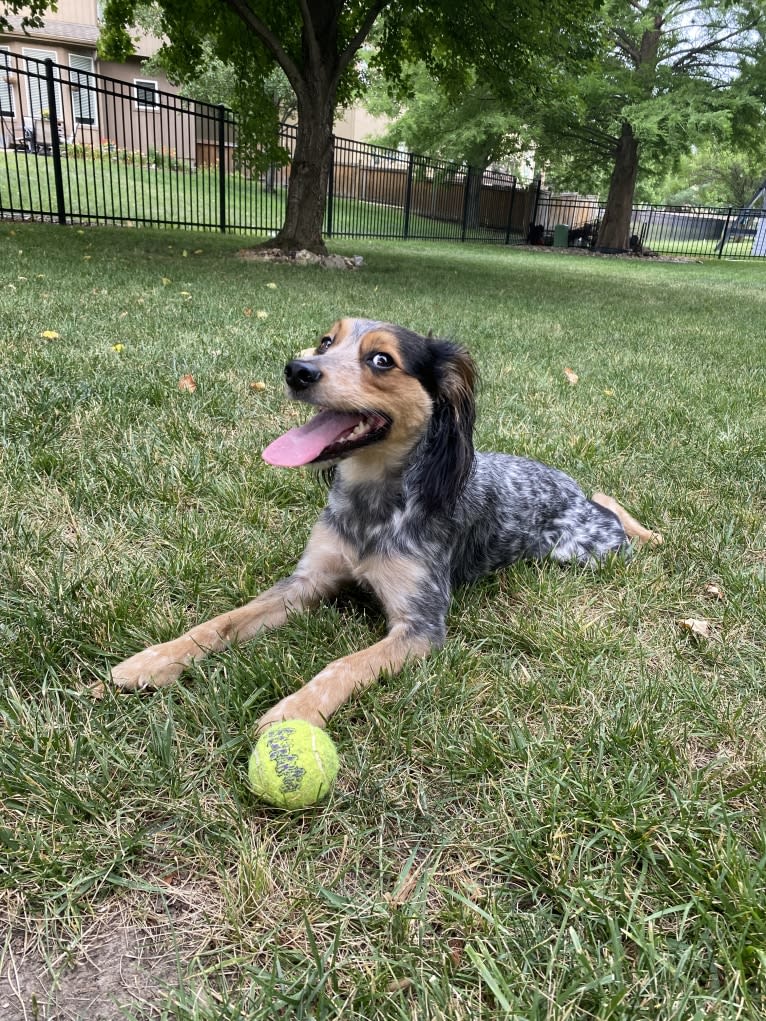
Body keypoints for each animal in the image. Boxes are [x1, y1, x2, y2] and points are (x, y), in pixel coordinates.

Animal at [110, 318, 661, 726]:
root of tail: (574, 492)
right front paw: (152, 660)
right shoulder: (306, 581)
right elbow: (221, 621)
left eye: (381, 360)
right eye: (326, 341)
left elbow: (346, 664)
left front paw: (295, 711)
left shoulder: (420, 627)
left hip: (586, 551)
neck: (372, 504)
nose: (296, 369)